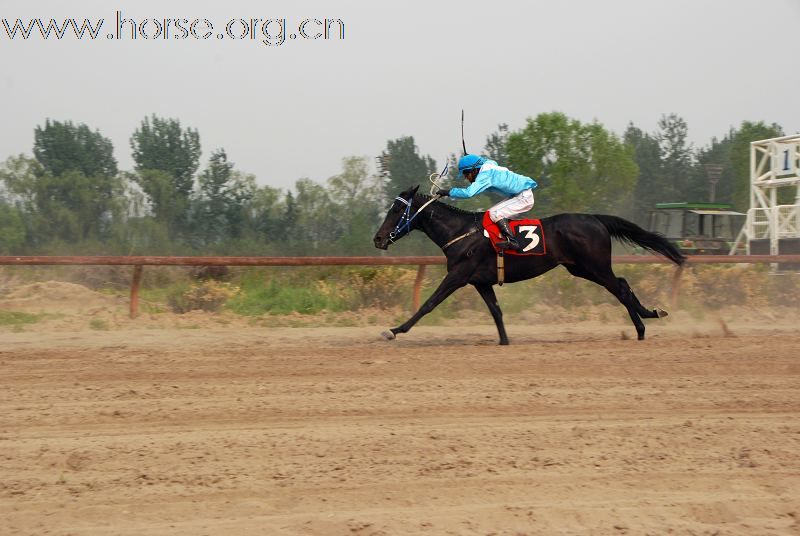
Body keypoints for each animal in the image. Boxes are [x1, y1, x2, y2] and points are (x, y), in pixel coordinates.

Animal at [372, 184, 684, 344]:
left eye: (397, 209)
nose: (378, 239)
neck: (460, 231)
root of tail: (595, 218)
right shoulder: (481, 281)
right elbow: (496, 311)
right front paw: (504, 340)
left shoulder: (458, 275)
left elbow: (429, 303)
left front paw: (395, 330)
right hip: (580, 267)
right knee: (621, 286)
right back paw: (646, 319)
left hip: (594, 265)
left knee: (620, 287)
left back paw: (643, 324)